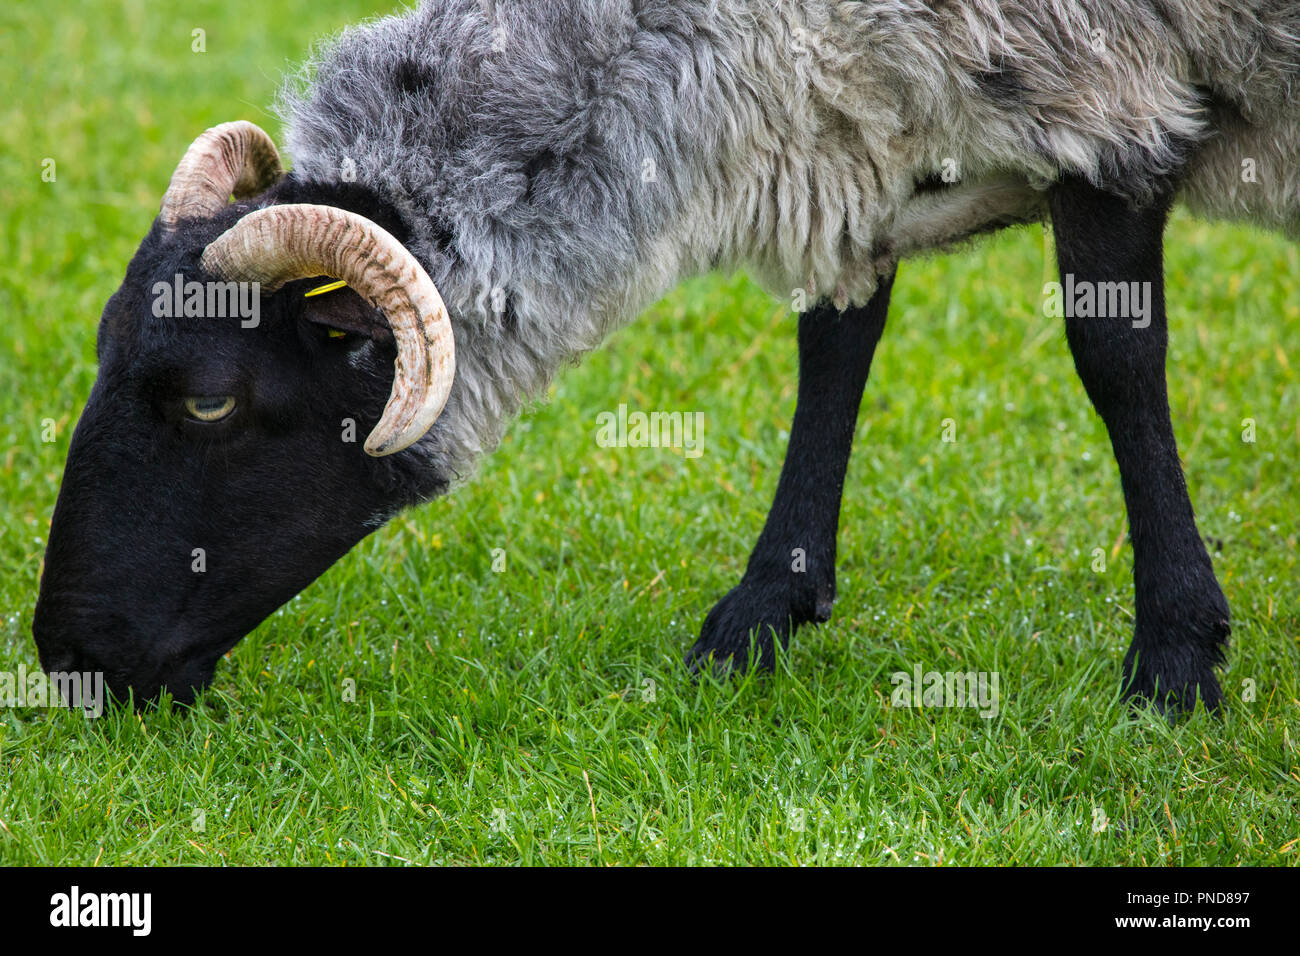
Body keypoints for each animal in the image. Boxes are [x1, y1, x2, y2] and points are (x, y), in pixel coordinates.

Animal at [32, 3, 1300, 712]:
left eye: (208, 401)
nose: (66, 654)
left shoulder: (1102, 95)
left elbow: (1114, 356)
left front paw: (1175, 655)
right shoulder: (859, 137)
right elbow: (835, 336)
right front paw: (766, 607)